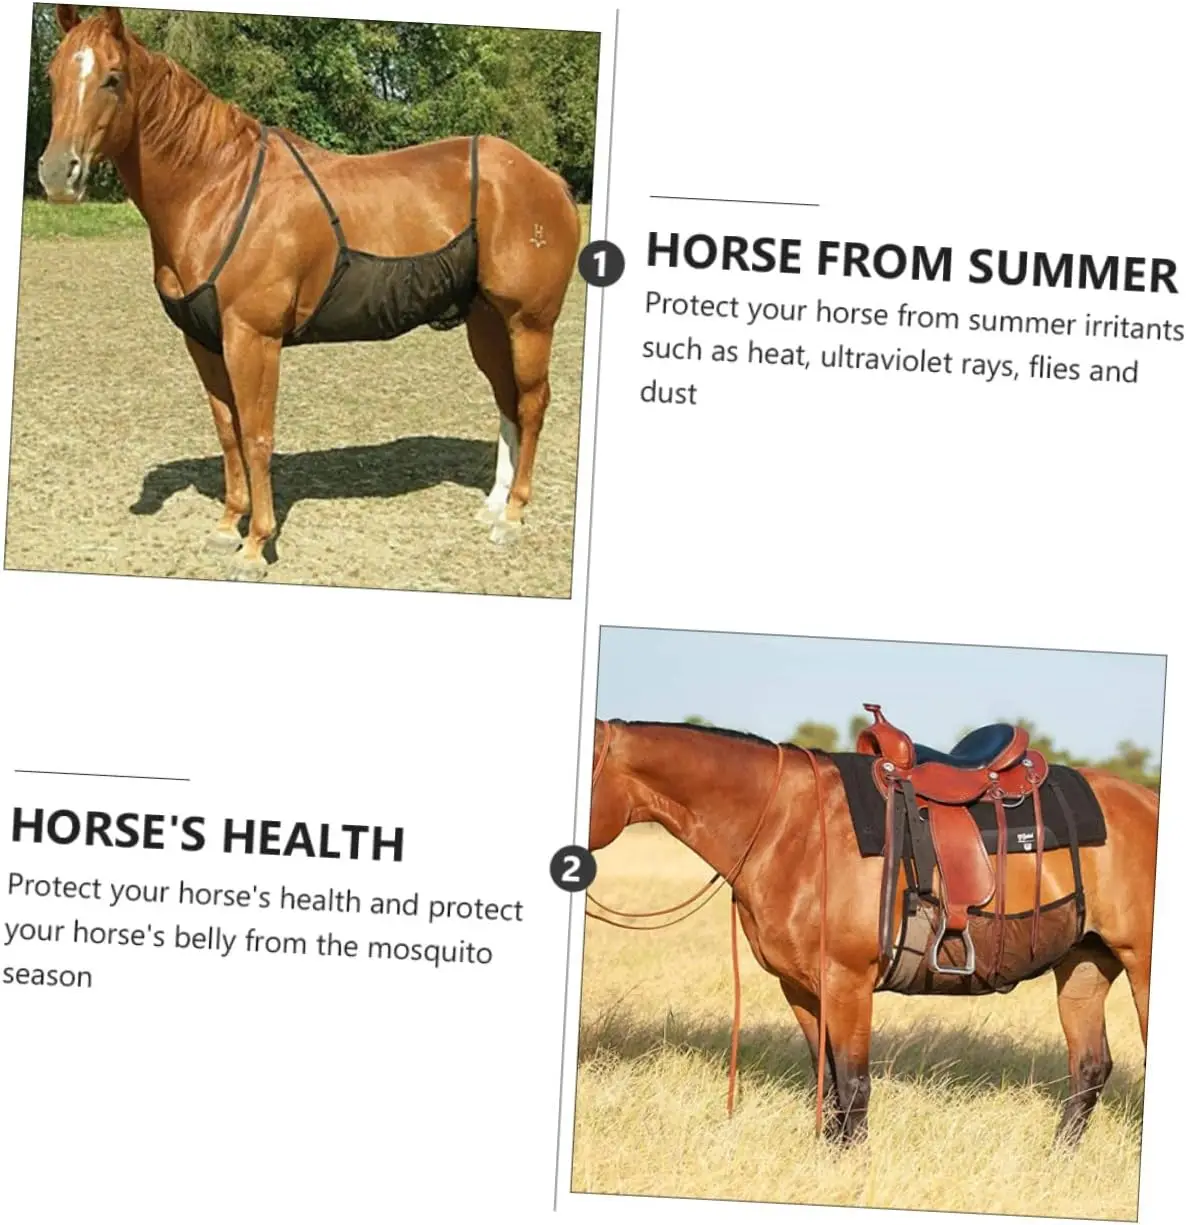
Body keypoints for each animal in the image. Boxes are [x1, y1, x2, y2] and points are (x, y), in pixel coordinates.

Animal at [39, 7, 581, 580]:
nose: (57, 174)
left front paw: (255, 545)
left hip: (529, 323)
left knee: (533, 404)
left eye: (113, 78)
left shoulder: (252, 339)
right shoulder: (204, 341)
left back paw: (514, 515)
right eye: (52, 75)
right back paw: (495, 504)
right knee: (507, 401)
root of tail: (549, 179)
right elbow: (228, 430)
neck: (218, 190)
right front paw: (226, 526)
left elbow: (257, 437)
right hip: (486, 322)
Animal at [586, 717, 1157, 1146]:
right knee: (1089, 1068)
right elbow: (831, 1085)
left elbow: (855, 1085)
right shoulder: (801, 988)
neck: (787, 827)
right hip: (1084, 967)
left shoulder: (848, 983)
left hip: (1143, 969)